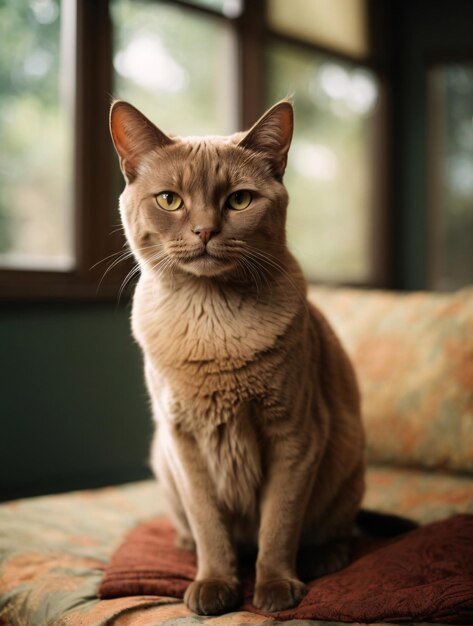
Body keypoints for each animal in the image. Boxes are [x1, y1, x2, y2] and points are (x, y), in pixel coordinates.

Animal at [109, 100, 364, 612]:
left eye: (239, 201)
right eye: (170, 200)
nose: (206, 230)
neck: (214, 325)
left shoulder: (294, 436)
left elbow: (278, 527)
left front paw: (275, 590)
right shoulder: (184, 442)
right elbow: (211, 528)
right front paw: (214, 586)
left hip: (346, 459)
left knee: (341, 530)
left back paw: (324, 558)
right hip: (163, 460)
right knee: (195, 530)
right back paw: (186, 546)